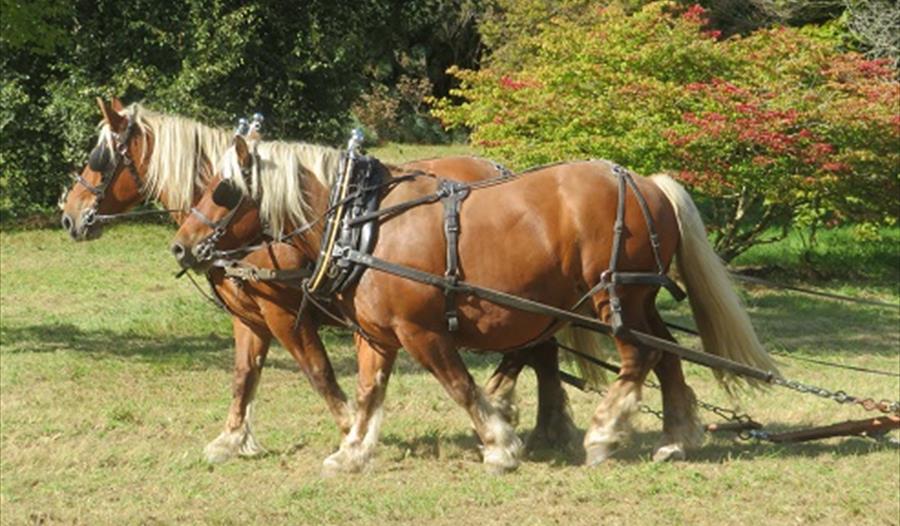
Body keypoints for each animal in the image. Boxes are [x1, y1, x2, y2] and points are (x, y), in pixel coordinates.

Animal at [60, 98, 582, 463]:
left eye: (99, 157)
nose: (69, 215)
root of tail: (499, 169)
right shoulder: (248, 315)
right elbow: (243, 374)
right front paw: (232, 438)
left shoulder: (282, 311)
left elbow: (317, 371)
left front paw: (353, 429)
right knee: (541, 347)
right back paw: (539, 424)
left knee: (534, 347)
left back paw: (518, 415)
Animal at [172, 134, 779, 473]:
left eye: (222, 190)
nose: (181, 244)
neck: (362, 223)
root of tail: (645, 181)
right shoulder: (377, 334)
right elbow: (367, 391)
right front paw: (353, 451)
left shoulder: (420, 331)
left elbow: (458, 385)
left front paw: (499, 445)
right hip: (636, 296)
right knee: (668, 350)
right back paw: (676, 437)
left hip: (614, 297)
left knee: (638, 358)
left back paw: (604, 433)